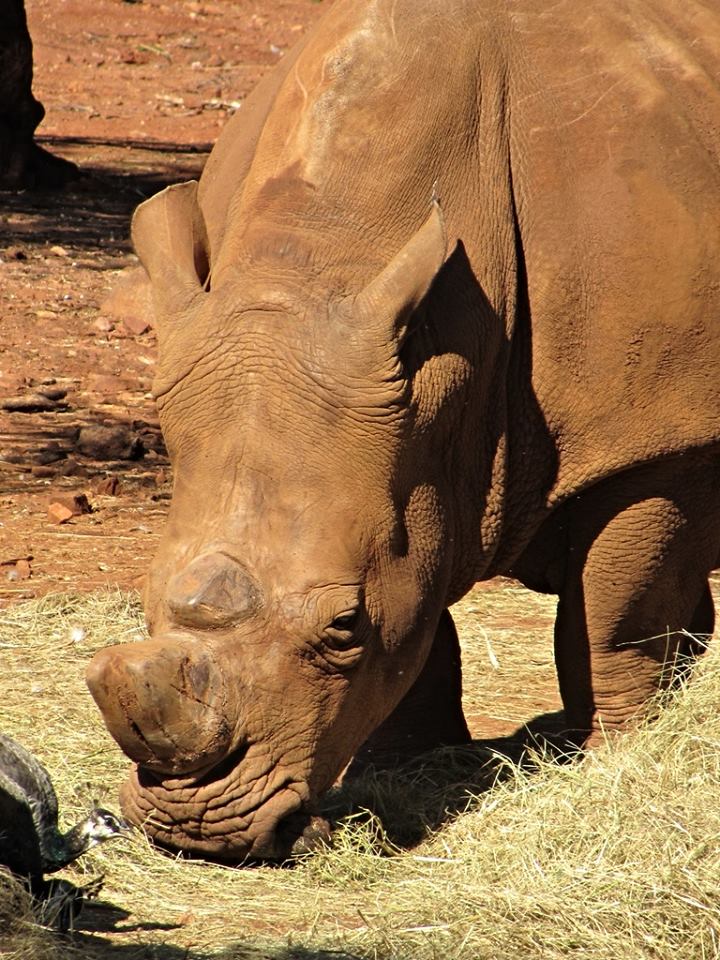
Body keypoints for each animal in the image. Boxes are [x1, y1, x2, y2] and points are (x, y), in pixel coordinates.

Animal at [86, 0, 720, 861]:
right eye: (143, 599)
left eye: (343, 626)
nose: (199, 830)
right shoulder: (401, 452)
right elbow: (418, 607)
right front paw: (409, 768)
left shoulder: (656, 444)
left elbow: (615, 616)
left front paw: (617, 759)